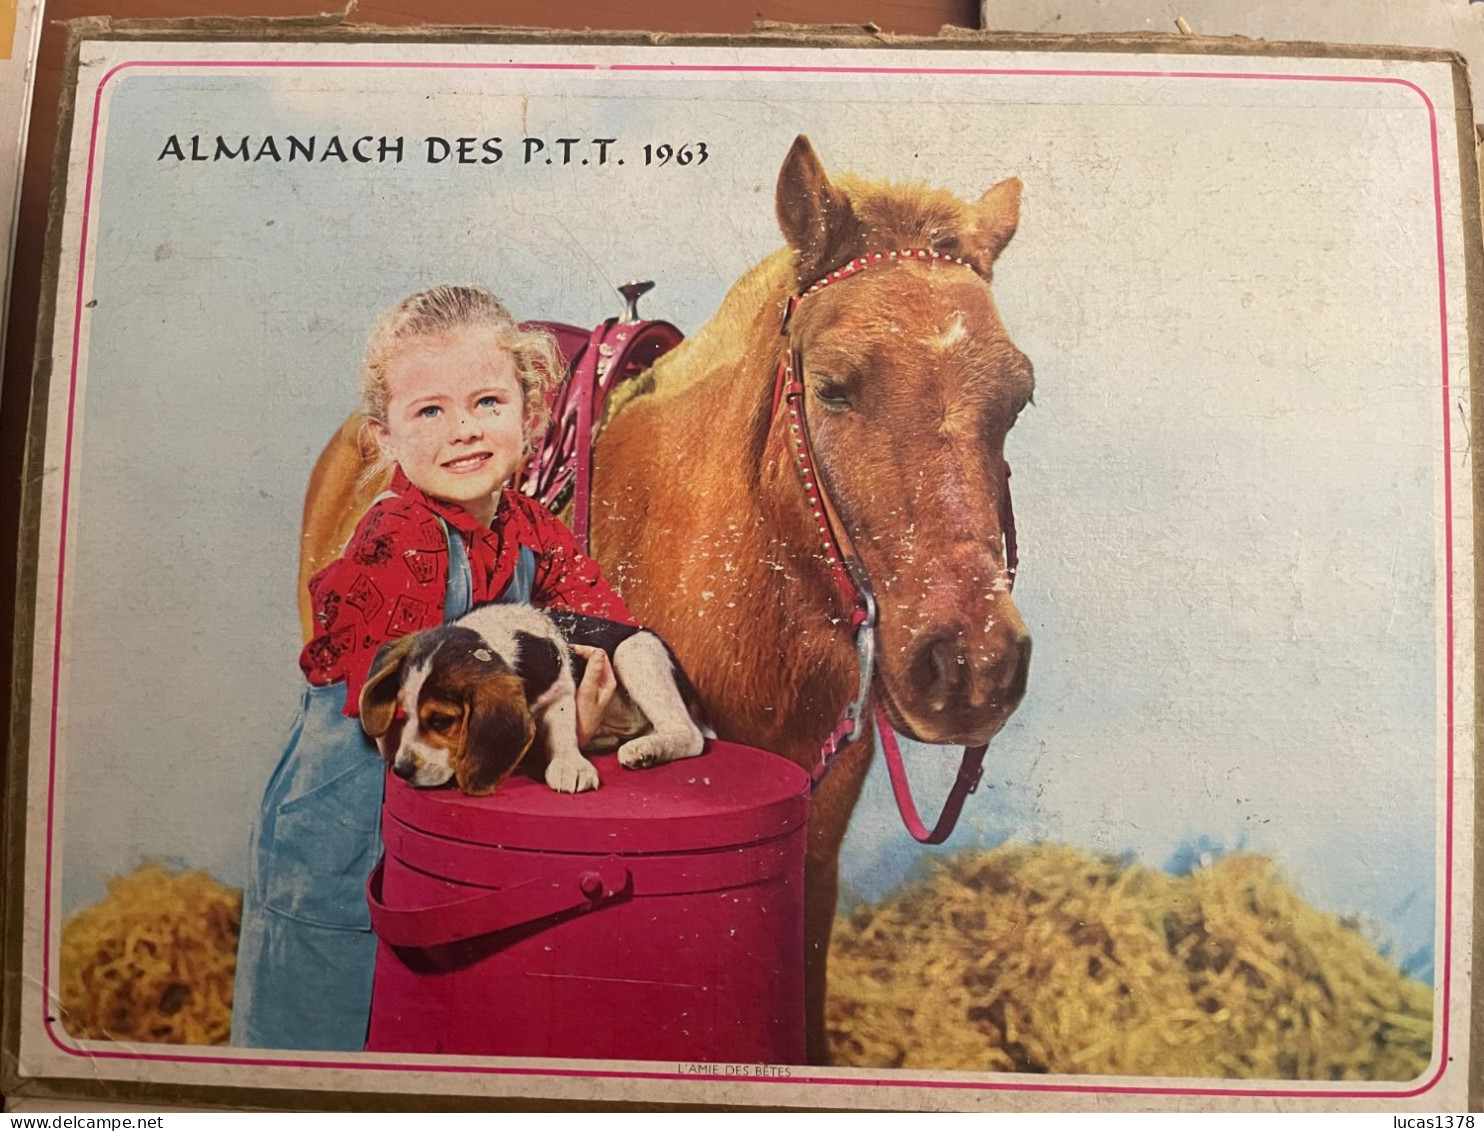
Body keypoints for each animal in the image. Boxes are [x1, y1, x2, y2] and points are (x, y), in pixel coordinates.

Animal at [357, 599, 706, 795]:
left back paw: (645, 750)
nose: (401, 770)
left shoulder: (561, 687)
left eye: (441, 721)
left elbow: (562, 727)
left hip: (635, 649)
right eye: (404, 714)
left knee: (691, 735)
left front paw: (569, 764)